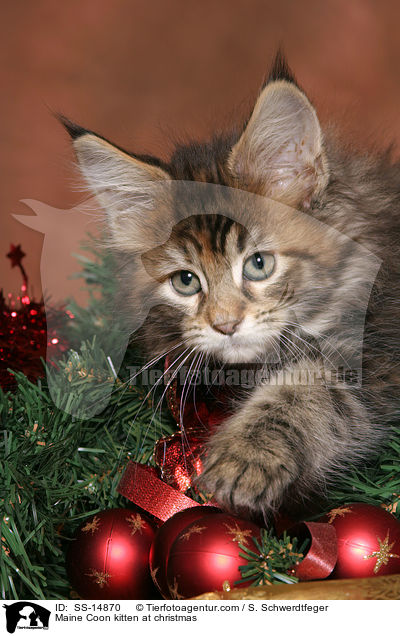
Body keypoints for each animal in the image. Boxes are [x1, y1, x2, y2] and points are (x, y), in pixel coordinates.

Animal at [61, 54, 400, 520]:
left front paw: (245, 456)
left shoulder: (375, 349)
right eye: (185, 281)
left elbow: (304, 389)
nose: (225, 325)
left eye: (259, 264)